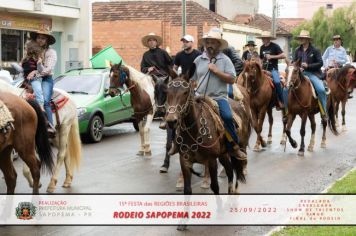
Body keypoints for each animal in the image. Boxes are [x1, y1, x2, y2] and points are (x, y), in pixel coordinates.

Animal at [164, 65, 250, 195]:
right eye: (167, 92)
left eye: (185, 92)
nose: (171, 120)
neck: (194, 131)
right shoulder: (185, 161)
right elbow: (187, 190)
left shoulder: (211, 160)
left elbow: (215, 187)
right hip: (224, 154)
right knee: (230, 171)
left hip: (240, 147)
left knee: (236, 168)